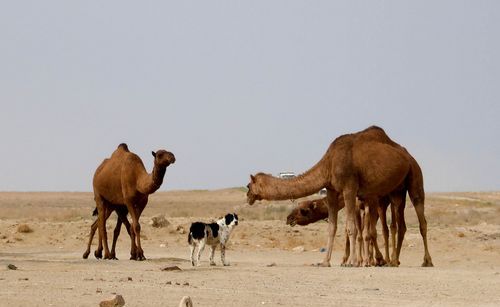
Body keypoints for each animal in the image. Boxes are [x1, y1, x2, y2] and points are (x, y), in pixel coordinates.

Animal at [247, 126, 434, 268]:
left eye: (249, 185)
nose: (248, 196)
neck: (329, 163)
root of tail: (409, 156)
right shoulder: (332, 190)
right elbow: (333, 228)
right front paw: (325, 262)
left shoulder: (350, 188)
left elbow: (354, 228)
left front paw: (354, 262)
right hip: (396, 191)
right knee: (399, 223)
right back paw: (394, 261)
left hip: (415, 176)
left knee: (421, 219)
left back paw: (426, 261)